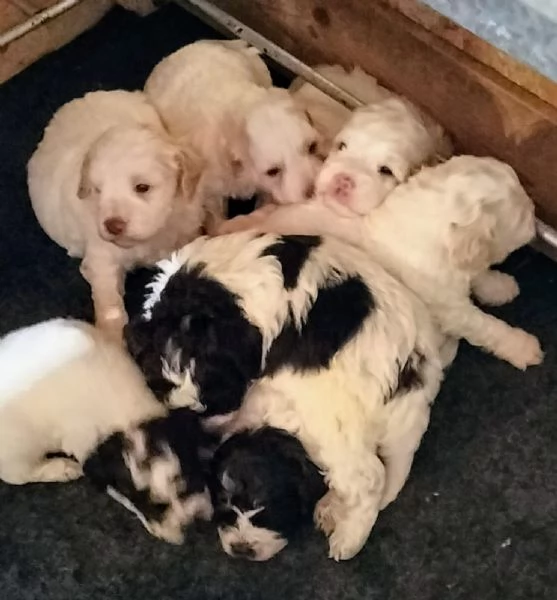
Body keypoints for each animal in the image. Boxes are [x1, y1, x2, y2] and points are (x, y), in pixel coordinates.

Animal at [125, 231, 444, 564]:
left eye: (217, 389)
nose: (207, 424)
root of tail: (417, 380)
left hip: (330, 419)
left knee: (368, 477)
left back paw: (349, 538)